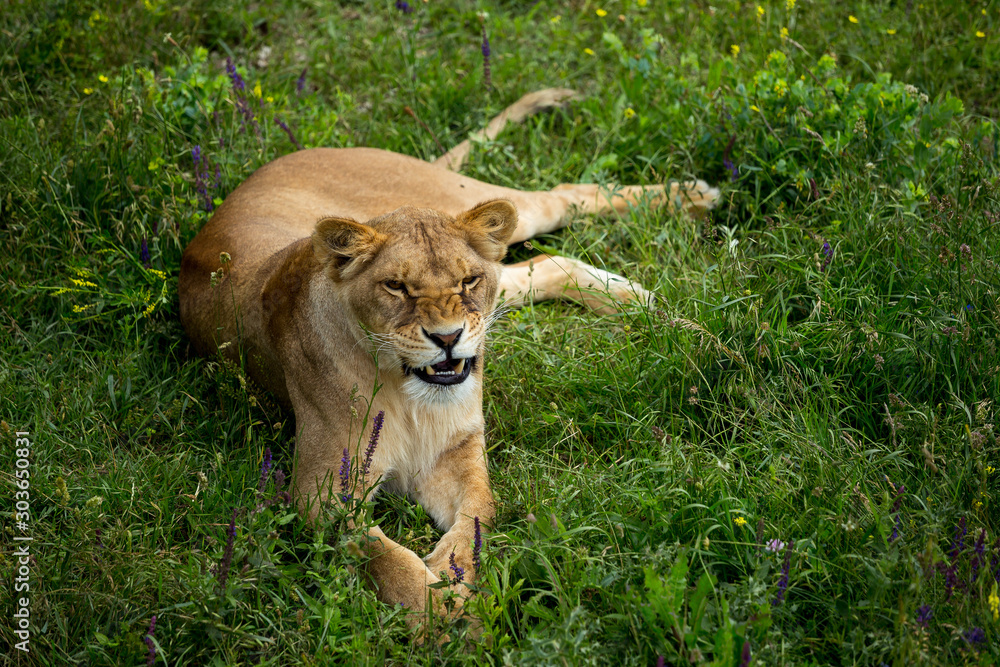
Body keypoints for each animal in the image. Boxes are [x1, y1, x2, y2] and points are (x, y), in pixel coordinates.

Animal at [178, 88, 718, 628]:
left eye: (467, 280)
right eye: (396, 287)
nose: (449, 337)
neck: (407, 394)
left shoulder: (455, 453)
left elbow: (480, 512)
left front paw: (455, 577)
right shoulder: (321, 490)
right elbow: (384, 557)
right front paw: (441, 615)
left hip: (477, 209)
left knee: (560, 195)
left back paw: (692, 209)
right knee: (548, 261)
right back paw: (642, 303)